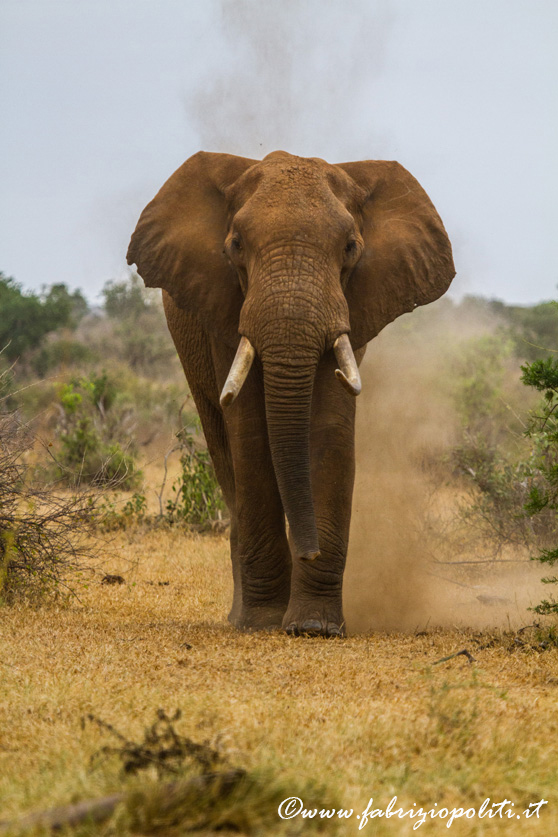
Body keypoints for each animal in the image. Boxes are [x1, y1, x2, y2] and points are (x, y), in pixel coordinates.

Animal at [127, 150, 455, 637]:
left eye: (351, 247)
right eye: (235, 244)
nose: (309, 550)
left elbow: (331, 429)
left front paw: (314, 626)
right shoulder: (224, 307)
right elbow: (249, 434)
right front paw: (264, 623)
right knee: (224, 451)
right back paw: (240, 616)